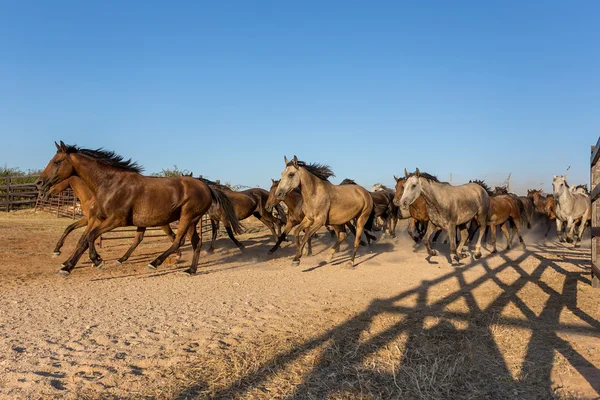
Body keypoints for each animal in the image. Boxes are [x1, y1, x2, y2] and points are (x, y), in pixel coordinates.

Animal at [47, 177, 180, 264]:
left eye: (57, 180)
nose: (48, 192)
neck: (90, 197)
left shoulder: (94, 221)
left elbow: (84, 239)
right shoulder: (86, 219)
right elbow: (70, 228)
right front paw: (57, 251)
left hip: (160, 223)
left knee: (172, 235)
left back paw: (177, 256)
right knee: (141, 239)